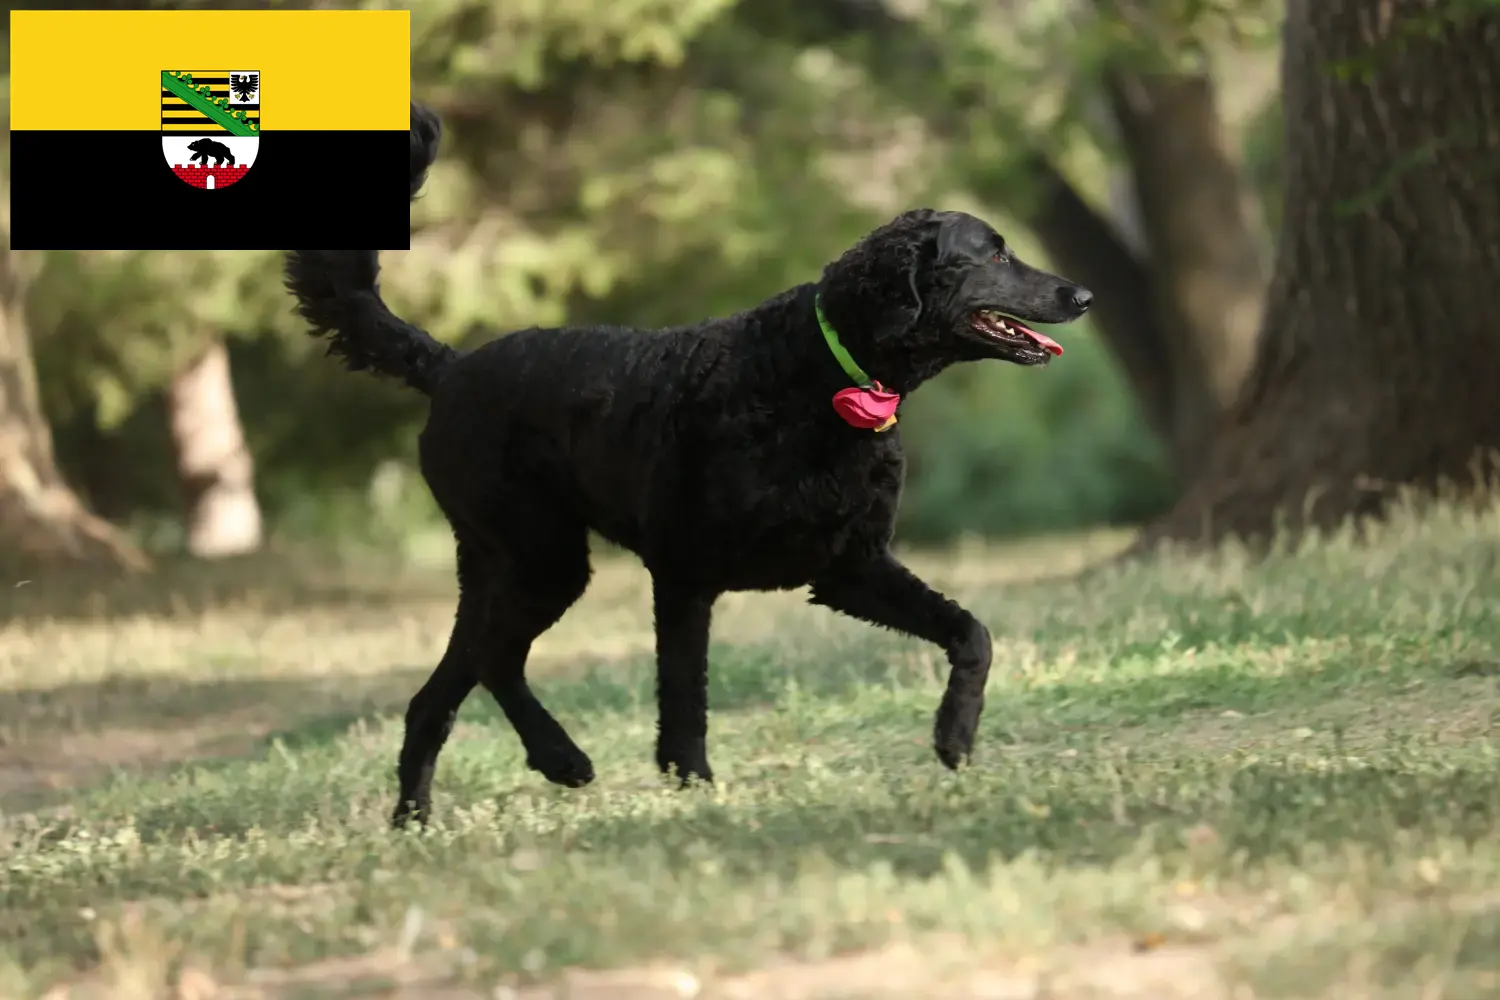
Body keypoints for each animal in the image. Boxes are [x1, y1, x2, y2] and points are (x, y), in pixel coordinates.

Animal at [283, 101, 1092, 827]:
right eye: (992, 253)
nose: (1082, 292)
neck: (815, 373)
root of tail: (449, 367)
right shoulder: (684, 574)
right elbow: (684, 695)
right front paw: (692, 781)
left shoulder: (850, 566)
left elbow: (972, 634)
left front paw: (954, 736)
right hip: (540, 558)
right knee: (492, 662)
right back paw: (554, 760)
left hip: (505, 565)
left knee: (452, 684)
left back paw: (426, 811)